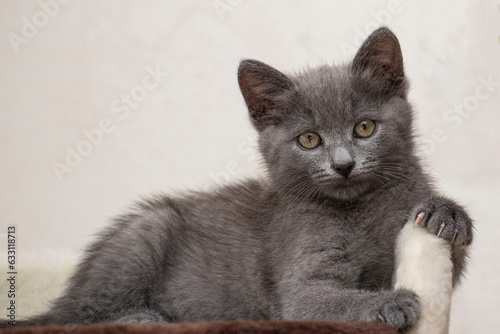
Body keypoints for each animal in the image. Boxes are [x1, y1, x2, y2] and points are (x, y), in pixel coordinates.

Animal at [1, 28, 472, 332]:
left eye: (364, 128)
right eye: (309, 139)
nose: (343, 164)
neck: (359, 207)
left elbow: (447, 258)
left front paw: (447, 214)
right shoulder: (300, 286)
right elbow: (324, 300)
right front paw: (393, 301)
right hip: (146, 230)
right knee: (77, 317)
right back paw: (144, 317)